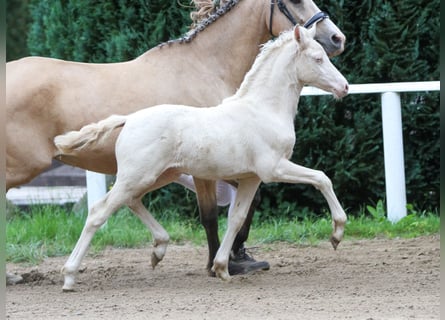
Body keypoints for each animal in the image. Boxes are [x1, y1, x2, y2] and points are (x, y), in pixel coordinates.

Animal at [4, 0, 344, 276]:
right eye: (294, 0)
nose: (336, 38)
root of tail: (128, 119)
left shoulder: (241, 170)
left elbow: (241, 210)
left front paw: (234, 259)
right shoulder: (237, 169)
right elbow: (212, 215)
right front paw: (221, 264)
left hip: (154, 174)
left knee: (127, 200)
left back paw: (158, 249)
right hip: (29, 167)